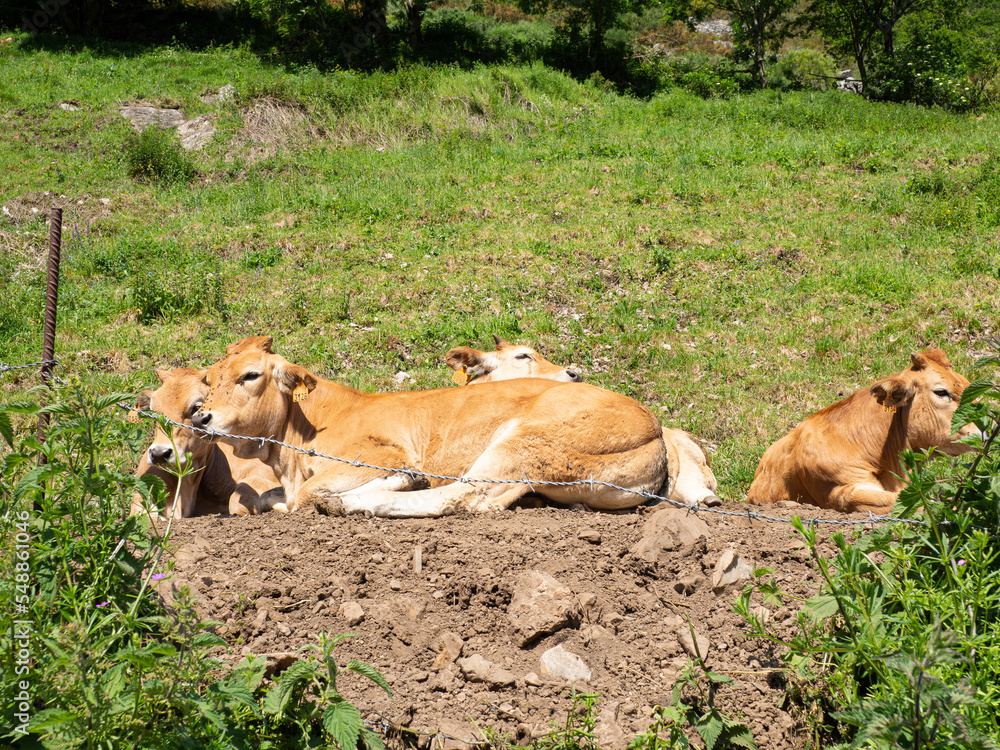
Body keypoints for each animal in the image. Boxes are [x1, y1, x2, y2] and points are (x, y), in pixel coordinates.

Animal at [190, 336, 673, 518]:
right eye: (209, 379)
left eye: (250, 375)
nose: (201, 417)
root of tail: (654, 427)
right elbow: (257, 500)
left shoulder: (379, 452)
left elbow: (305, 496)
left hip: (524, 440)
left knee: (460, 496)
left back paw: (372, 498)